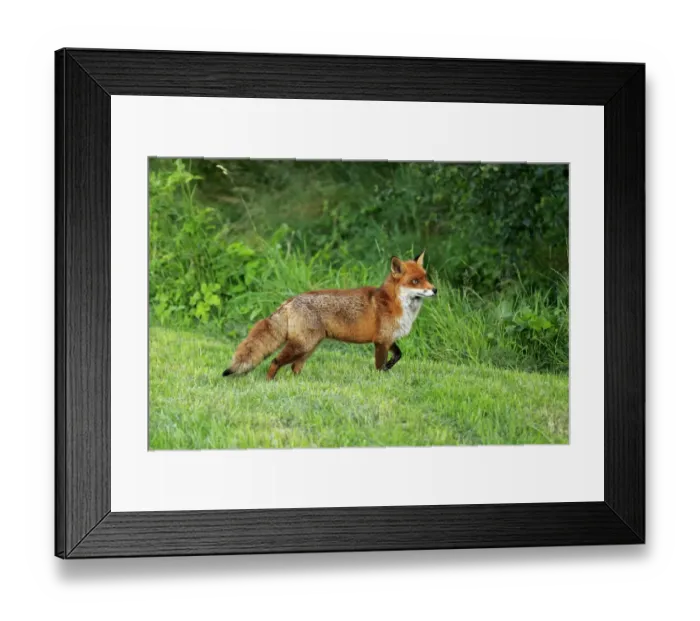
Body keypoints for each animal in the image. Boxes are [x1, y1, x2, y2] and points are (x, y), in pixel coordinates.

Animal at [222, 250, 437, 380]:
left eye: (426, 277)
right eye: (415, 281)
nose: (435, 290)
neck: (395, 303)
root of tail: (290, 300)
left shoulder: (388, 338)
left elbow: (399, 355)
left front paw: (390, 367)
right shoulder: (380, 341)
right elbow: (379, 365)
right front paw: (380, 378)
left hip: (309, 347)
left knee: (294, 368)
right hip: (302, 345)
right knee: (275, 361)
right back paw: (269, 382)